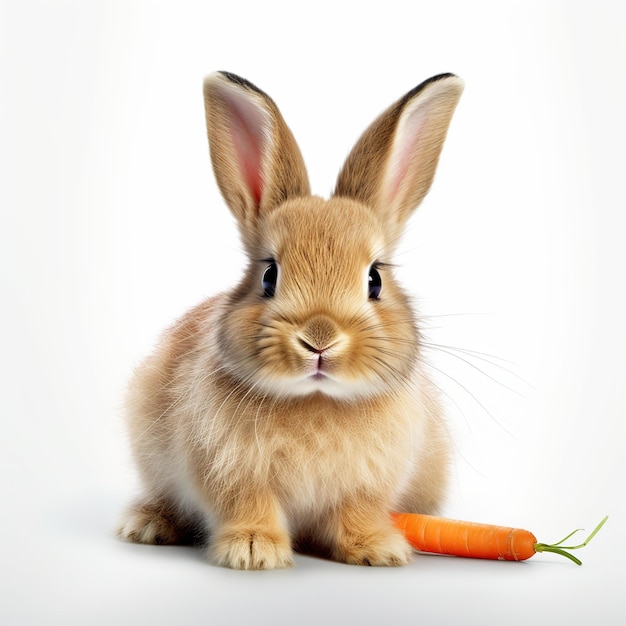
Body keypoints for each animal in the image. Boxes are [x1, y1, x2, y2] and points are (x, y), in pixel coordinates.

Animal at [117, 70, 460, 568]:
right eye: (269, 275)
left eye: (374, 279)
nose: (319, 339)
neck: (315, 400)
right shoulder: (232, 473)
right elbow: (249, 504)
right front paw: (253, 550)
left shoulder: (366, 485)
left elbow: (357, 512)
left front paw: (377, 550)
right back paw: (147, 524)